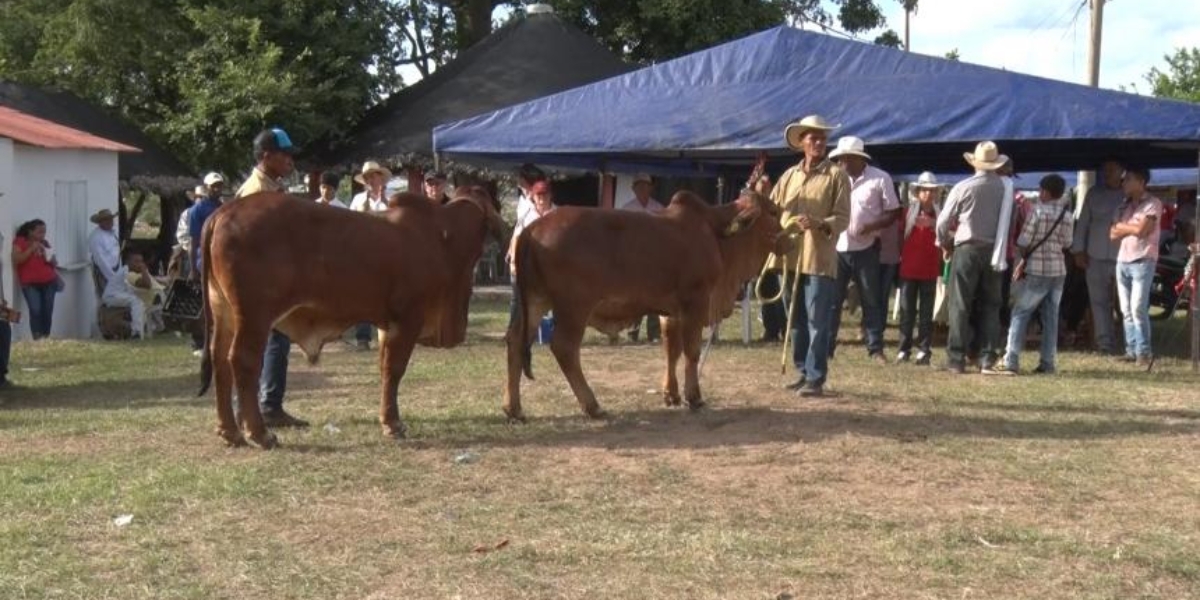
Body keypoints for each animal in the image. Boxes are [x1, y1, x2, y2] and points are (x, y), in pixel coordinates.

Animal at [199, 184, 504, 448]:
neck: (443, 237)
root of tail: (224, 211)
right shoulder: (408, 318)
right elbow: (395, 369)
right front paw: (393, 424)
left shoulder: (387, 323)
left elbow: (384, 368)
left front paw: (387, 418)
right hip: (255, 315)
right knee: (243, 362)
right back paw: (260, 434)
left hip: (224, 312)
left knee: (219, 361)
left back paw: (230, 432)